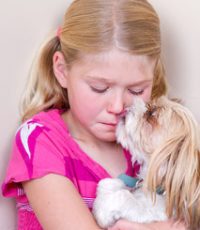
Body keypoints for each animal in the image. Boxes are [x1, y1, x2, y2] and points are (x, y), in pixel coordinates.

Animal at [93, 96, 200, 230]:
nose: (128, 107)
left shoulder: (152, 214)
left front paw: (103, 210)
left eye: (152, 113)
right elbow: (112, 184)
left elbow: (125, 197)